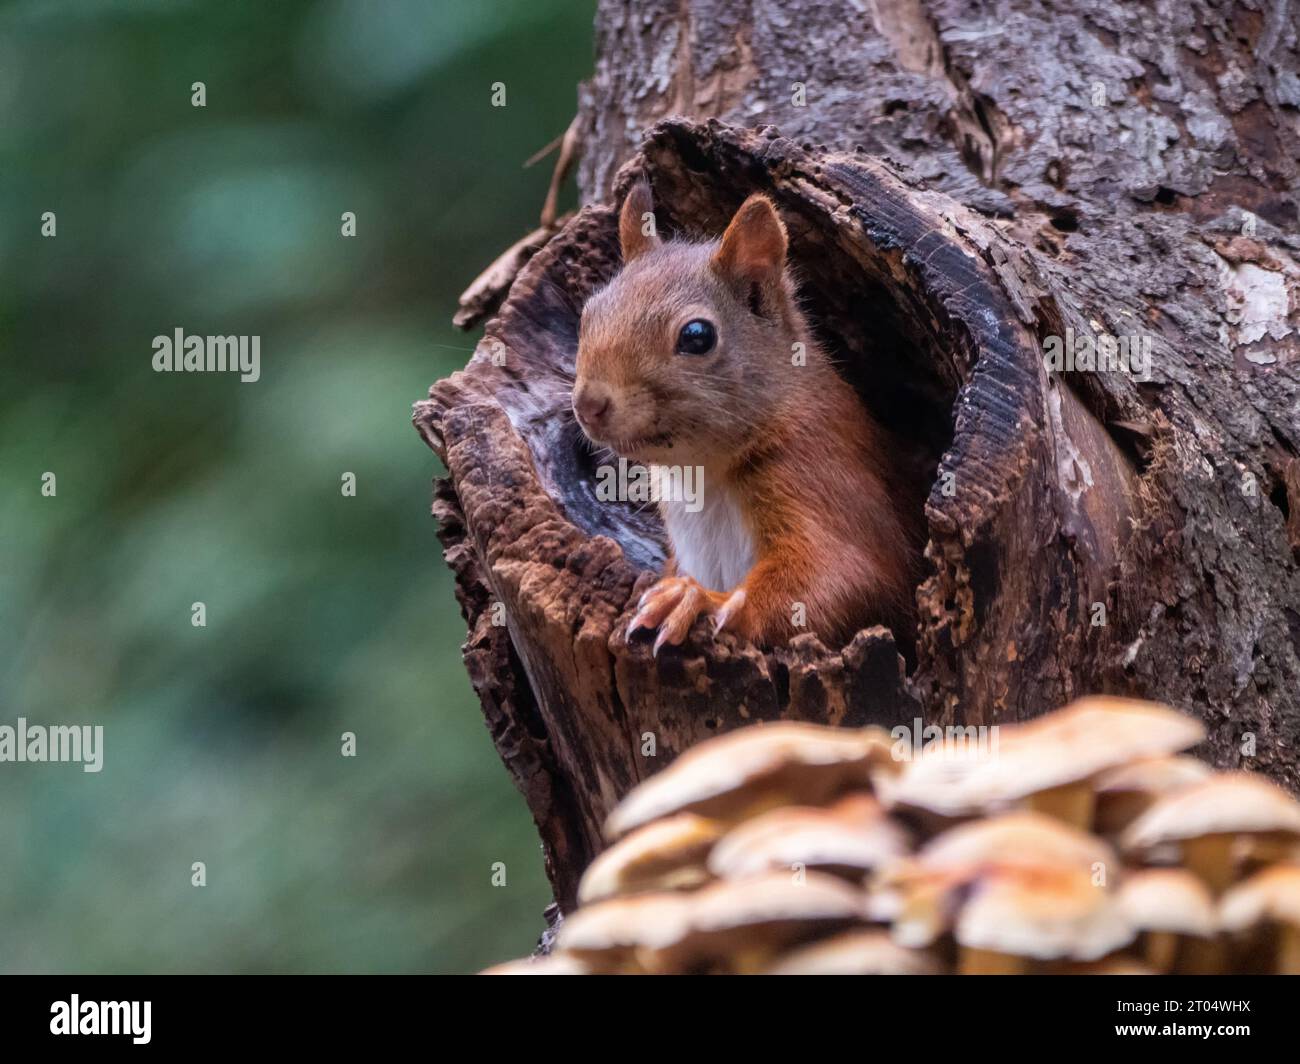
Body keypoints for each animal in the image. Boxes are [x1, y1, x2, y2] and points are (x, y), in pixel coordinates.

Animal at [574, 180, 920, 647]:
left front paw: (698, 600)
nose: (588, 404)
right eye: (587, 314)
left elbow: (847, 575)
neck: (702, 476)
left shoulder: (825, 476)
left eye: (697, 336)